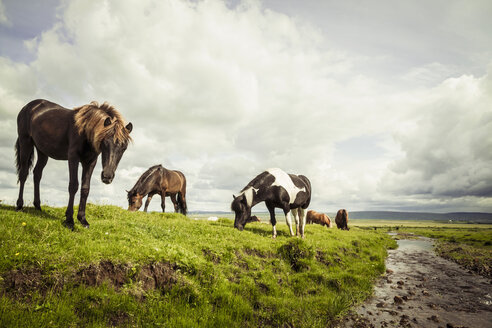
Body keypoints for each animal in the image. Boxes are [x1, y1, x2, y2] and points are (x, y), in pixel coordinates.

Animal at [16, 98, 134, 229]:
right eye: (104, 142)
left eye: (124, 148)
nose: (107, 176)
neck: (85, 130)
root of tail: (29, 106)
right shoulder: (73, 158)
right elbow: (73, 186)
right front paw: (69, 220)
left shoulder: (90, 162)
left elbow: (85, 188)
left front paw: (83, 219)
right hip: (25, 143)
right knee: (23, 173)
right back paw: (19, 205)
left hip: (42, 151)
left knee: (37, 174)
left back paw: (37, 206)